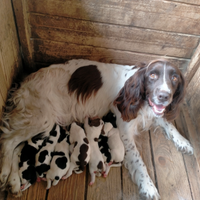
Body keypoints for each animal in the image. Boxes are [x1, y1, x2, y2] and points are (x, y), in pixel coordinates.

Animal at [0, 58, 194, 199]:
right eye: (152, 76)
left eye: (174, 78)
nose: (164, 96)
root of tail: (26, 81)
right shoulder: (124, 130)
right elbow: (139, 161)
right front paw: (148, 186)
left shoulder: (153, 112)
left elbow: (167, 123)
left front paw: (183, 142)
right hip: (42, 119)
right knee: (8, 141)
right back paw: (4, 173)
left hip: (42, 125)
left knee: (18, 147)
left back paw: (14, 182)